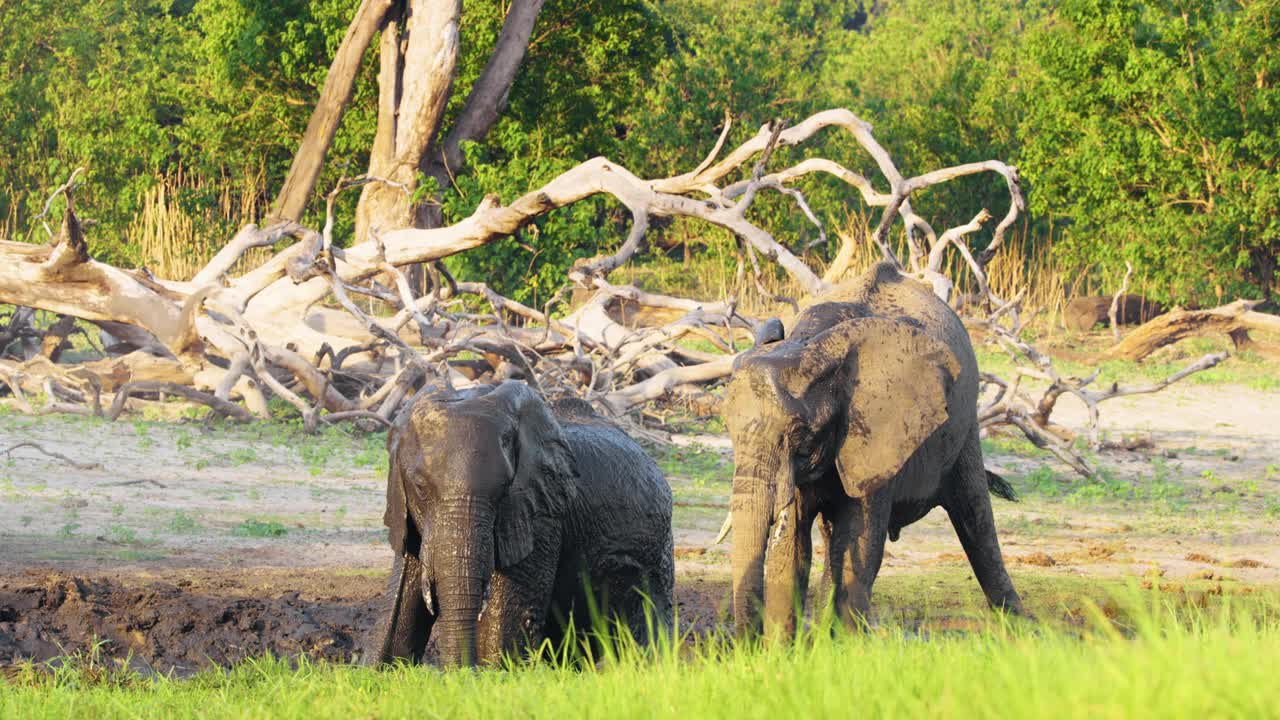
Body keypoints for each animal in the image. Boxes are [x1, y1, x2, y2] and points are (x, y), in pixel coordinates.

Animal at [366, 379, 675, 666]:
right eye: (420, 488)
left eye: (504, 490)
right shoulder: (408, 517)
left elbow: (504, 621)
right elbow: (397, 607)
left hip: (659, 550)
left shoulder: (541, 513)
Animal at [727, 260, 1024, 635]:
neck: (811, 346)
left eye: (801, 436)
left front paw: (847, 643)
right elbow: (794, 546)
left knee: (976, 520)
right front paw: (787, 648)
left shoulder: (881, 436)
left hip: (965, 422)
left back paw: (1021, 630)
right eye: (729, 432)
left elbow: (861, 533)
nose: (747, 643)